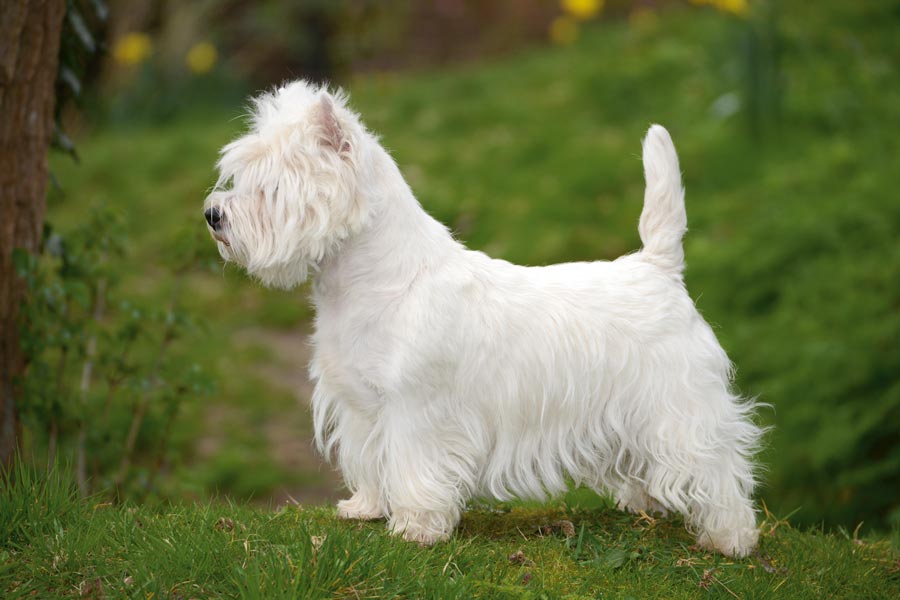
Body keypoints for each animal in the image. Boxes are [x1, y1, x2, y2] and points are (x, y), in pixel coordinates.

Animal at [207, 79, 764, 556]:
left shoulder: (417, 408)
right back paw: (644, 502)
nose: (213, 215)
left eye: (272, 186)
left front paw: (415, 527)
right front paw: (365, 507)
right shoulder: (360, 403)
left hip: (681, 406)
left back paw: (731, 538)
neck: (376, 282)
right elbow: (369, 457)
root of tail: (657, 267)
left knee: (716, 466)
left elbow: (413, 465)